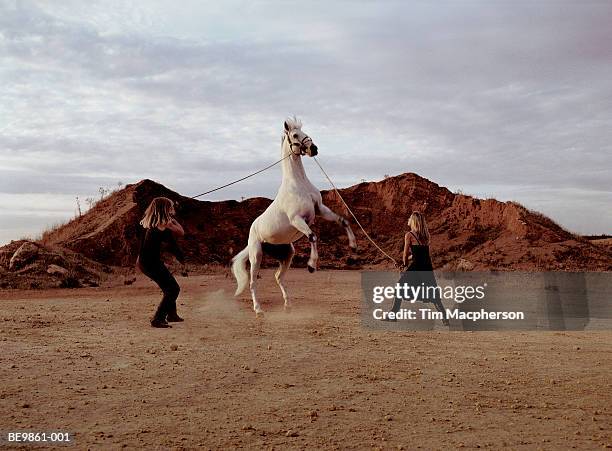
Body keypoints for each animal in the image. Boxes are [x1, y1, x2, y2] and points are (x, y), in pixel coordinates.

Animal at [234, 118, 358, 316]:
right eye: (294, 135)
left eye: (304, 132)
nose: (314, 148)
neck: (299, 184)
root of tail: (254, 227)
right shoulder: (297, 219)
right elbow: (313, 236)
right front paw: (311, 265)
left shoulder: (320, 209)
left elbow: (343, 220)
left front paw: (353, 245)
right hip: (256, 254)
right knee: (253, 282)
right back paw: (258, 310)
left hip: (287, 255)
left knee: (278, 277)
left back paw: (287, 305)